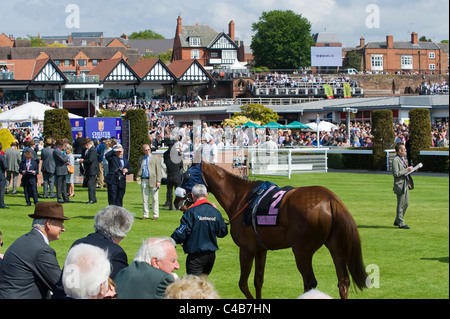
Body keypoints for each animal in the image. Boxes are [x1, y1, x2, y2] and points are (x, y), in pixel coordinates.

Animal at [174, 162, 368, 300]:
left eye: (186, 177)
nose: (176, 201)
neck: (241, 197)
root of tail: (330, 198)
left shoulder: (246, 249)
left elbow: (243, 283)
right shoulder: (261, 250)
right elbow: (258, 281)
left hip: (302, 251)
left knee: (310, 283)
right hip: (335, 246)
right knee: (343, 281)